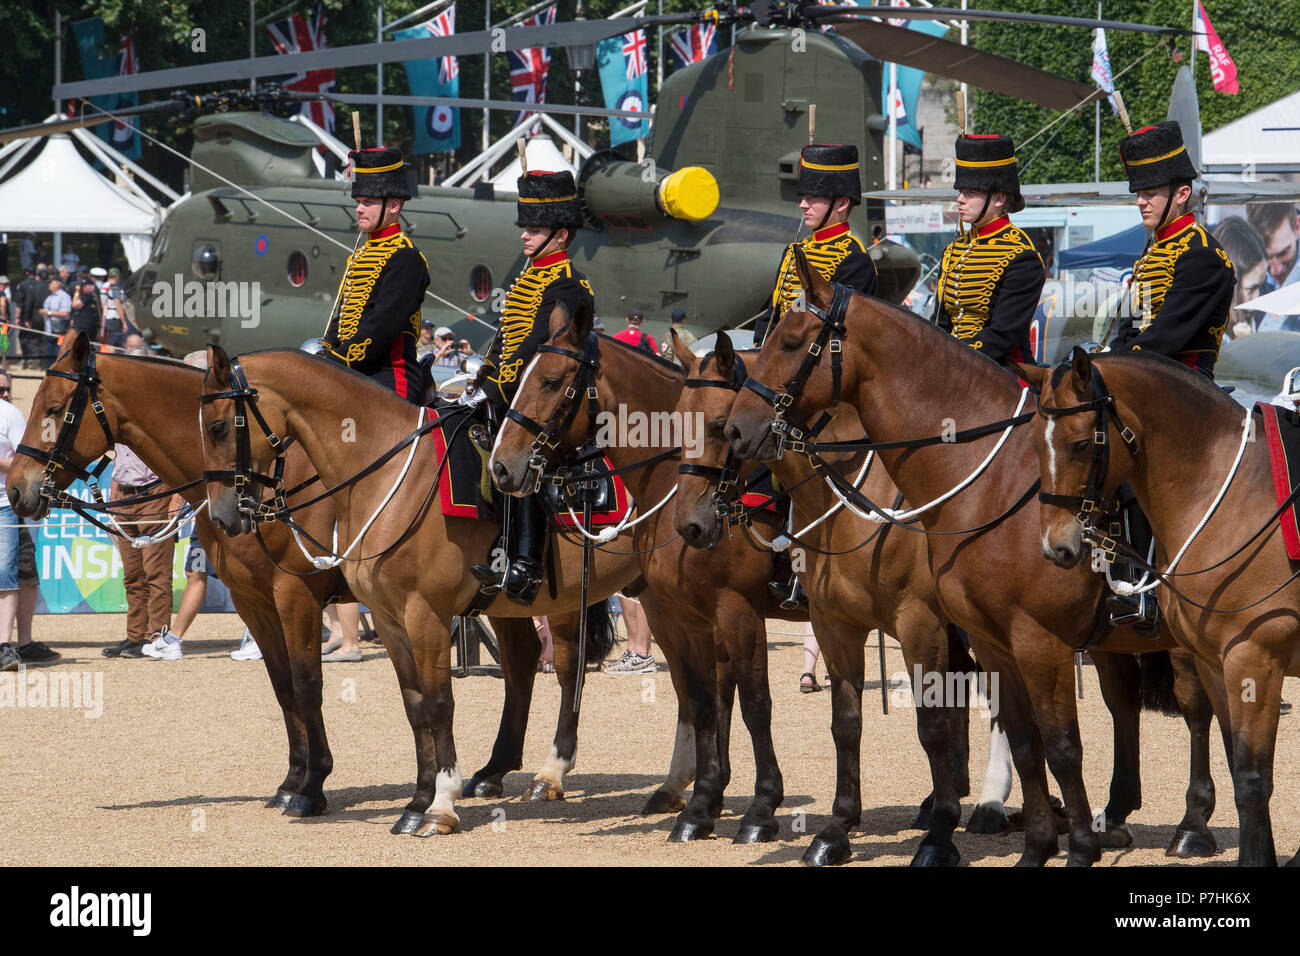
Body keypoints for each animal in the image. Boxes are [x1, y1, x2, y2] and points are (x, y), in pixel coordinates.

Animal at [5, 335, 600, 822]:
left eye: (54, 409)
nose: (16, 489)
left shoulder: (296, 594)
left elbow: (307, 683)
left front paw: (312, 787)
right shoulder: (254, 602)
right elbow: (283, 688)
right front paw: (293, 780)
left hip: (555, 596)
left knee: (567, 662)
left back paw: (549, 772)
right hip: (502, 600)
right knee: (522, 661)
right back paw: (494, 770)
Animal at [200, 345, 647, 837]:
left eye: (218, 426)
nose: (223, 515)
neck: (391, 473)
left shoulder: (420, 614)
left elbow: (436, 703)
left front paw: (439, 805)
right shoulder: (388, 619)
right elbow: (414, 705)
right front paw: (418, 800)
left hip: (568, 600)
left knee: (570, 667)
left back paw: (551, 773)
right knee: (526, 661)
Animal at [676, 335, 977, 868]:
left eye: (719, 425)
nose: (691, 525)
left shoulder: (918, 623)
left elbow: (931, 724)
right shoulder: (832, 625)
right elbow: (843, 724)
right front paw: (836, 830)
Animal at [728, 251, 1222, 868]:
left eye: (793, 342)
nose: (738, 429)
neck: (984, 483)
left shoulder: (1001, 635)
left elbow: (1033, 741)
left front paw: (955, 834)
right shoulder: (955, 635)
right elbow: (1007, 737)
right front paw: (838, 831)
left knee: (1197, 709)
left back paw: (1191, 824)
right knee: (1123, 703)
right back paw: (1113, 814)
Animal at [1024, 348, 1300, 868]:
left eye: (1080, 444)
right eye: (1033, 442)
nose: (1056, 548)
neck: (1233, 499)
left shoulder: (1255, 659)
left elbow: (1253, 780)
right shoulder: (1215, 662)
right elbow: (1235, 759)